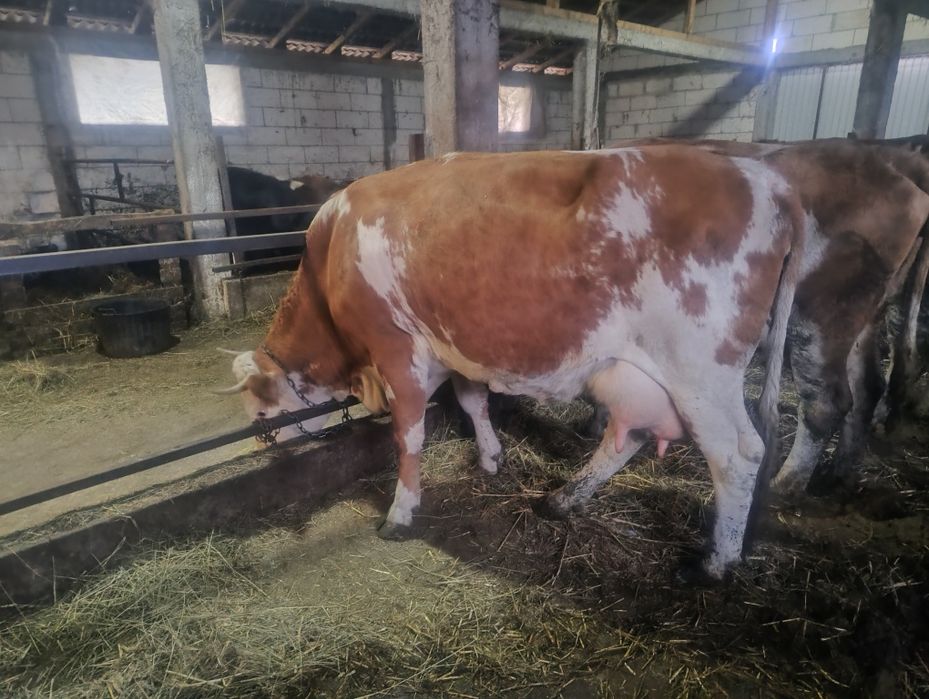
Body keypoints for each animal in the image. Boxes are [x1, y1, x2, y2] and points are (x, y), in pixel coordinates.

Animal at [219, 145, 807, 581]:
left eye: (261, 415)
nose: (260, 450)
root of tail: (766, 179)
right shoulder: (453, 346)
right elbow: (473, 401)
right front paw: (491, 458)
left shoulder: (396, 349)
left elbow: (409, 434)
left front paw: (402, 511)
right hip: (639, 373)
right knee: (629, 435)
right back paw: (562, 499)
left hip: (702, 373)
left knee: (738, 455)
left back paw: (717, 562)